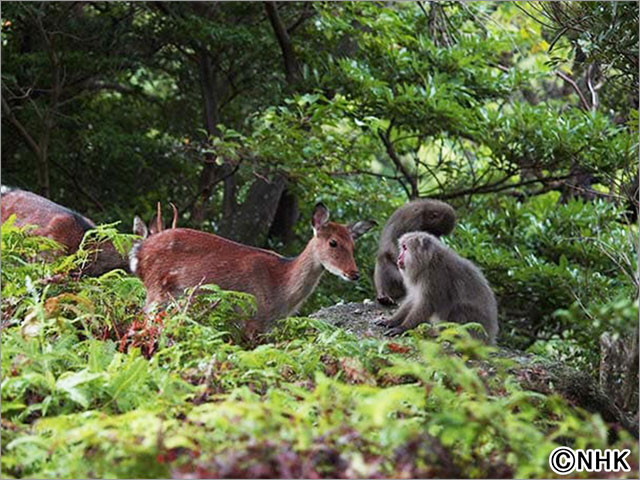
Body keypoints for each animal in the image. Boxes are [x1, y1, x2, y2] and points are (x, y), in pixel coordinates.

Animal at [129, 202, 376, 334]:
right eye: (333, 242)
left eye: (353, 244)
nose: (354, 273)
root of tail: (138, 251)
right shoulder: (251, 317)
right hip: (157, 291)